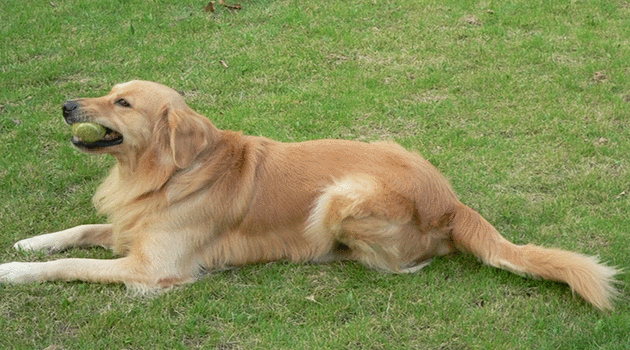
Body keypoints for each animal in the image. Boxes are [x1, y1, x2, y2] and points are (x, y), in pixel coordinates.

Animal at [0, 81, 620, 308]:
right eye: (109, 91)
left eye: (124, 103)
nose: (66, 105)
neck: (164, 173)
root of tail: (450, 198)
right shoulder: (133, 230)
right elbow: (80, 232)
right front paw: (30, 243)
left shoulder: (152, 268)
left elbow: (73, 265)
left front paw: (14, 270)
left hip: (340, 196)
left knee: (402, 264)